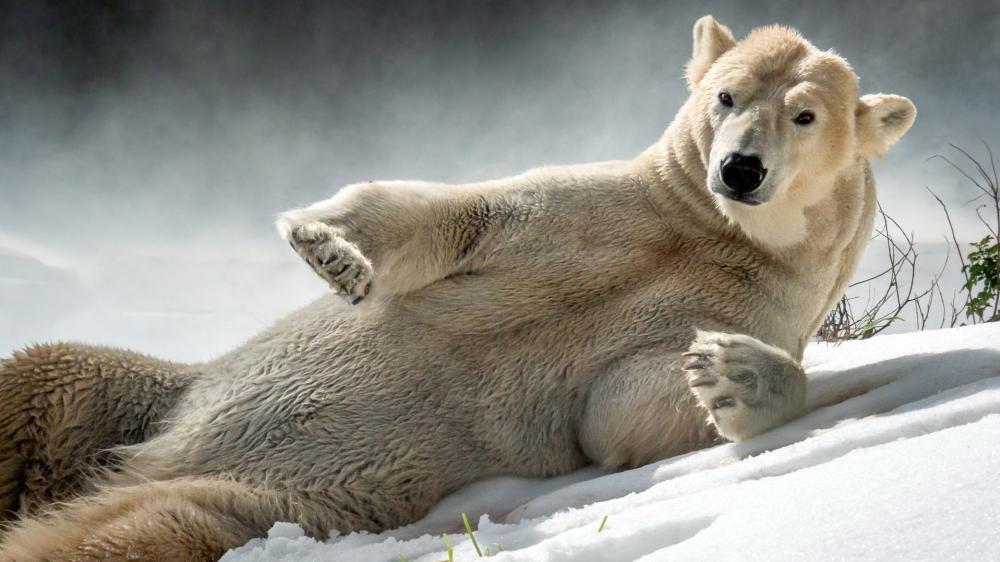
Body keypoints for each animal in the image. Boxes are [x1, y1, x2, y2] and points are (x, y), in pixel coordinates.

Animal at [0, 16, 915, 561]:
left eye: (803, 115)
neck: (710, 232)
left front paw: (734, 374)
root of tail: (146, 459)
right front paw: (331, 249)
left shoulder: (752, 296)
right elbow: (458, 217)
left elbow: (628, 407)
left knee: (136, 530)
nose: (739, 168)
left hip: (272, 495)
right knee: (46, 376)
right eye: (725, 96)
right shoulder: (595, 210)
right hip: (144, 393)